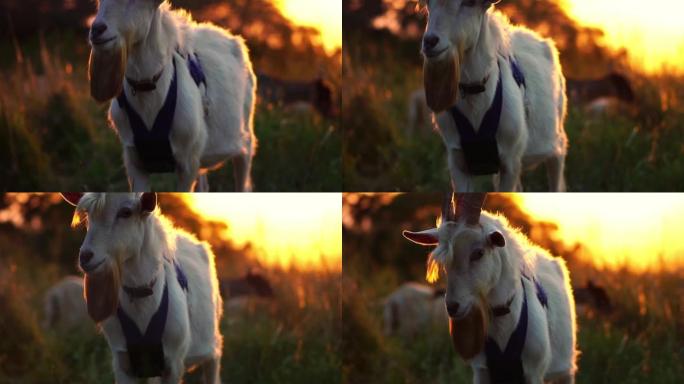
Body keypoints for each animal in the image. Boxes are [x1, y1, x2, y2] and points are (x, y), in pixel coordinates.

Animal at [62, 194, 223, 382]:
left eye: (126, 212)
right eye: (87, 215)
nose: (85, 257)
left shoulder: (173, 363)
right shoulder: (123, 362)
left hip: (212, 347)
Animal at [404, 195, 576, 384]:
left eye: (478, 253)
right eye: (445, 262)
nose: (452, 307)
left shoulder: (534, 372)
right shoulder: (482, 371)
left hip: (566, 371)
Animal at [420, 0, 568, 192]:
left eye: (468, 3)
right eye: (427, 4)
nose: (430, 41)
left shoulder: (510, 161)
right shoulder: (458, 161)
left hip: (556, 143)